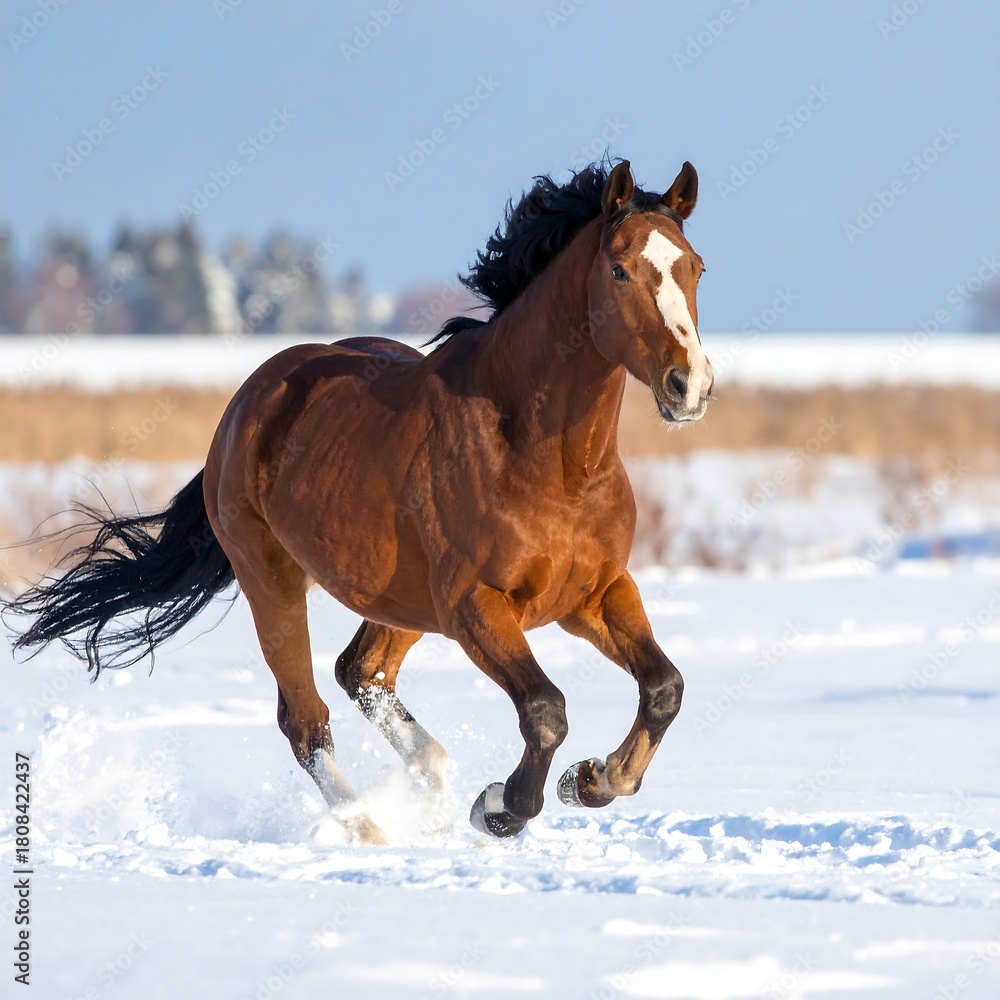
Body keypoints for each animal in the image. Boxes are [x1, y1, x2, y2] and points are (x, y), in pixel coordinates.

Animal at [6, 159, 713, 844]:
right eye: (619, 269)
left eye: (695, 267)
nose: (690, 385)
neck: (550, 464)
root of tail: (248, 403)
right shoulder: (477, 608)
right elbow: (545, 710)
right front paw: (499, 808)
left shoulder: (596, 593)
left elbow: (664, 688)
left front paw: (593, 779)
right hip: (273, 583)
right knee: (306, 716)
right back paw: (366, 829)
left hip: (400, 601)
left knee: (361, 672)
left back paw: (426, 788)